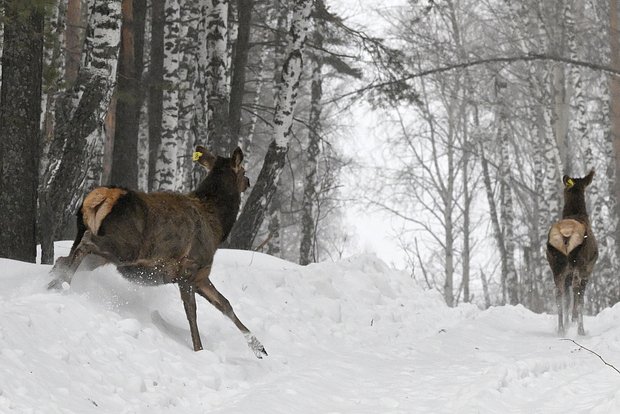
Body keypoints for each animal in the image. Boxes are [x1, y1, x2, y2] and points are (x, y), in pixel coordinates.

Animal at [49, 147, 268, 358]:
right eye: (243, 171)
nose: (248, 181)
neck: (218, 228)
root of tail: (103, 195)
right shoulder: (189, 267)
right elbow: (192, 312)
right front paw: (199, 350)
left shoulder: (200, 275)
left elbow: (225, 304)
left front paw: (259, 348)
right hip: (126, 248)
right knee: (84, 243)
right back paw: (63, 282)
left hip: (101, 253)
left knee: (64, 257)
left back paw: (55, 282)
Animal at [544, 170, 600, 334]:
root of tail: (566, 234)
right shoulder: (588, 269)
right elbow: (579, 294)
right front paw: (574, 320)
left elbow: (567, 298)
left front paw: (569, 322)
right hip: (579, 262)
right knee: (578, 291)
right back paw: (580, 328)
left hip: (556, 264)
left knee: (559, 293)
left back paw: (561, 329)